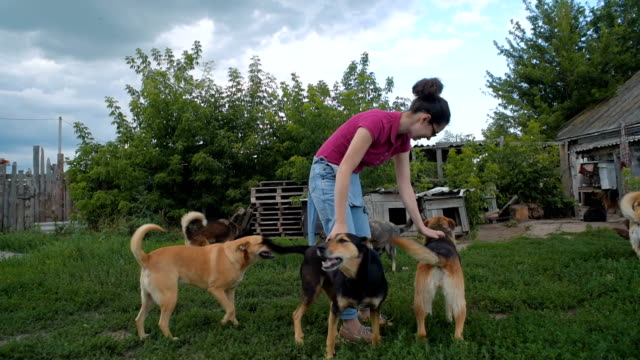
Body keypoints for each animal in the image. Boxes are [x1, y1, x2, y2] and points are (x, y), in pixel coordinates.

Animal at [130, 224, 278, 338]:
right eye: (261, 242)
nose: (276, 244)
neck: (233, 256)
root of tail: (147, 258)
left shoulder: (230, 291)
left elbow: (233, 308)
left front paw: (236, 324)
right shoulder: (215, 290)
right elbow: (229, 309)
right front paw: (224, 321)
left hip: (149, 300)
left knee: (138, 319)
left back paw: (143, 337)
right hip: (170, 299)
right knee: (162, 323)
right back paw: (172, 340)